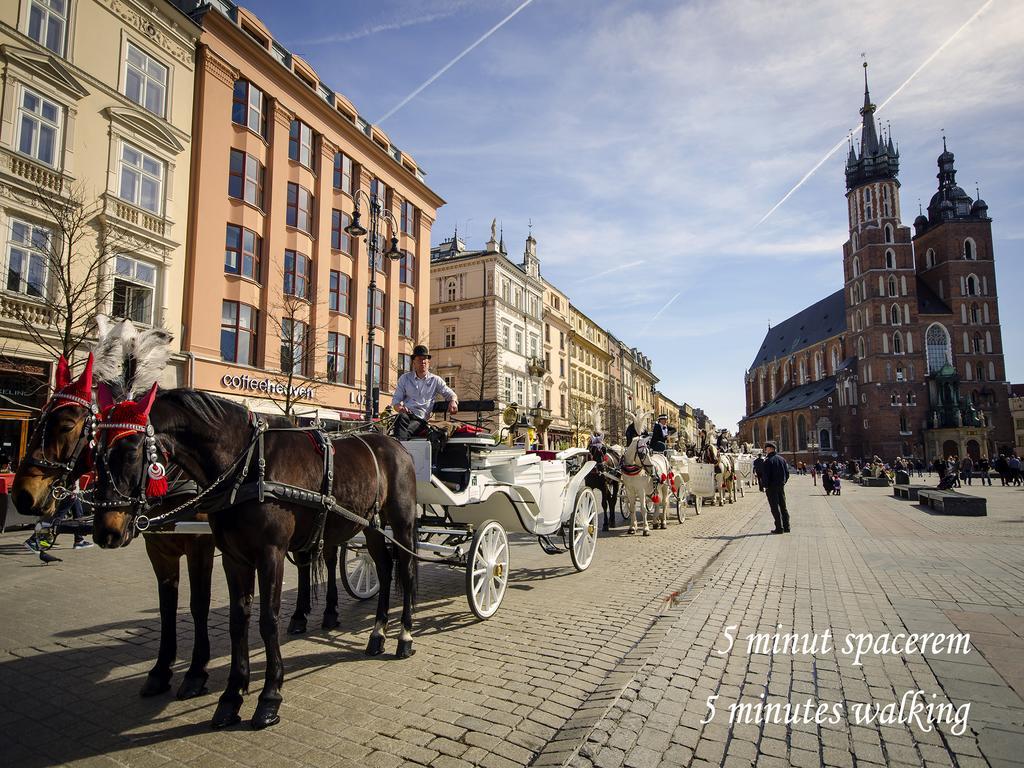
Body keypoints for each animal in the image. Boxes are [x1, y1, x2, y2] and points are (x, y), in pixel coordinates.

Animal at [91, 387, 419, 729]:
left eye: (131, 452)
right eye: (96, 451)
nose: (105, 531)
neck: (247, 467)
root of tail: (393, 443)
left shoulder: (269, 554)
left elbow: (267, 621)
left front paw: (269, 697)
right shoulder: (233, 558)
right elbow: (238, 621)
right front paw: (231, 696)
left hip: (402, 522)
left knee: (407, 570)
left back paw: (404, 637)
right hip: (371, 524)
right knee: (384, 568)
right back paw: (377, 634)